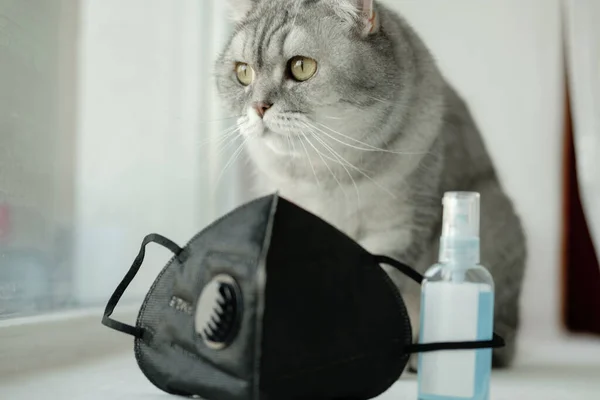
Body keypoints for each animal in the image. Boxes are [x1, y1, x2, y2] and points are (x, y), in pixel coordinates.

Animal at [214, 0, 524, 368]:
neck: (321, 174)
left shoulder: (397, 231)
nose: (258, 107)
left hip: (496, 217)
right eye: (243, 73)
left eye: (301, 67)